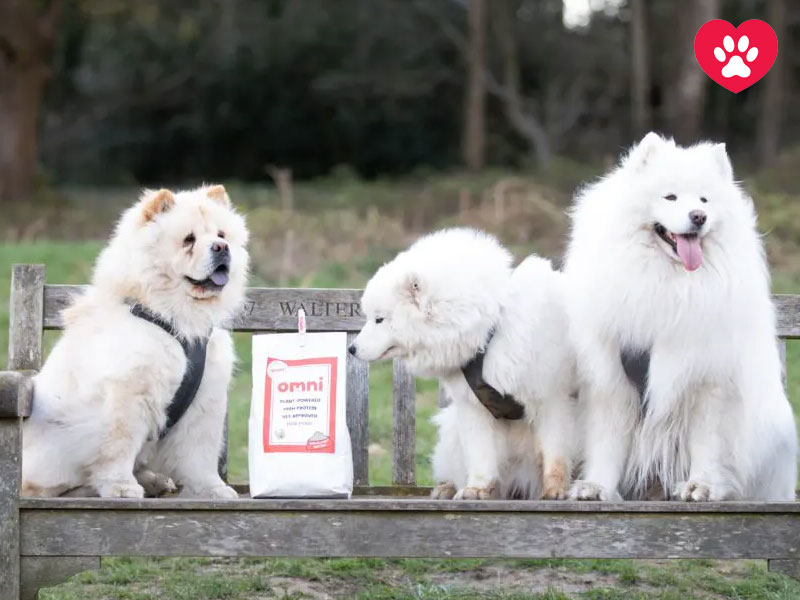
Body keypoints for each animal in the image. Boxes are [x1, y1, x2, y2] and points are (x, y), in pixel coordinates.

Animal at [22, 185, 247, 500]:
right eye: (189, 240)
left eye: (222, 235)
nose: (221, 248)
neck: (177, 319)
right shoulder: (128, 393)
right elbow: (119, 446)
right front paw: (121, 487)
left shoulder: (205, 400)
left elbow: (201, 453)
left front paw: (212, 489)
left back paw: (155, 481)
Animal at [350, 227, 576, 500]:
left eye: (379, 319)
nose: (351, 348)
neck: (491, 329)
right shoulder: (474, 406)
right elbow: (480, 455)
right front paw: (476, 489)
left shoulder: (551, 398)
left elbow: (554, 453)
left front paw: (554, 491)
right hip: (451, 429)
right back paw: (447, 488)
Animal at [564, 132, 796, 502]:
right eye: (670, 197)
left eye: (704, 199)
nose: (698, 215)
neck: (668, 284)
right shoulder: (610, 377)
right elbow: (606, 440)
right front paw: (597, 486)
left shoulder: (709, 380)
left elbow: (707, 444)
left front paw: (701, 485)